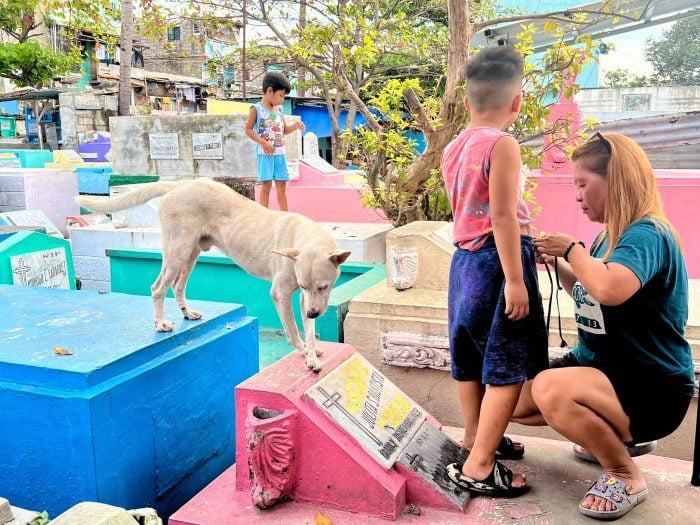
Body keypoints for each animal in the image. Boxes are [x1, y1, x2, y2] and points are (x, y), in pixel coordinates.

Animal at [78, 178, 350, 370]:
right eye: (306, 286)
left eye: (323, 287)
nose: (313, 313)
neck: (303, 235)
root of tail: (181, 183)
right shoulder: (281, 293)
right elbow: (293, 331)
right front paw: (304, 353)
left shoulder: (306, 299)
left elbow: (309, 330)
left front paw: (312, 353)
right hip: (177, 250)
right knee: (158, 288)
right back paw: (160, 323)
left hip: (191, 253)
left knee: (177, 285)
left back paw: (187, 313)